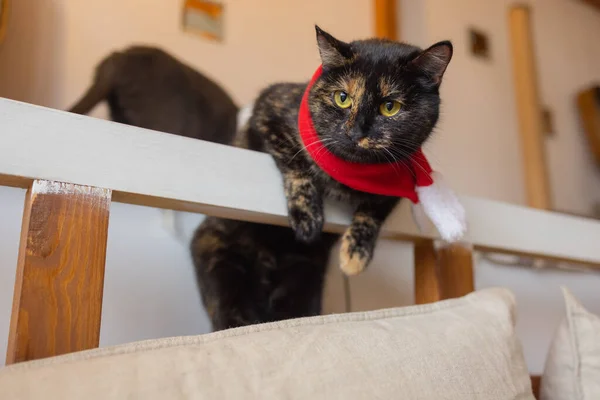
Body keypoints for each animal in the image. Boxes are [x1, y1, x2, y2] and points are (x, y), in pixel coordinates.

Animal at [191, 25, 450, 332]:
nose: (356, 131)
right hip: (218, 253)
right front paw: (308, 217)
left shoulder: (404, 171)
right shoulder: (268, 109)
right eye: (342, 97)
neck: (349, 175)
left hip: (306, 279)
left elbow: (375, 209)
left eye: (390, 106)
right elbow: (296, 162)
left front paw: (356, 254)